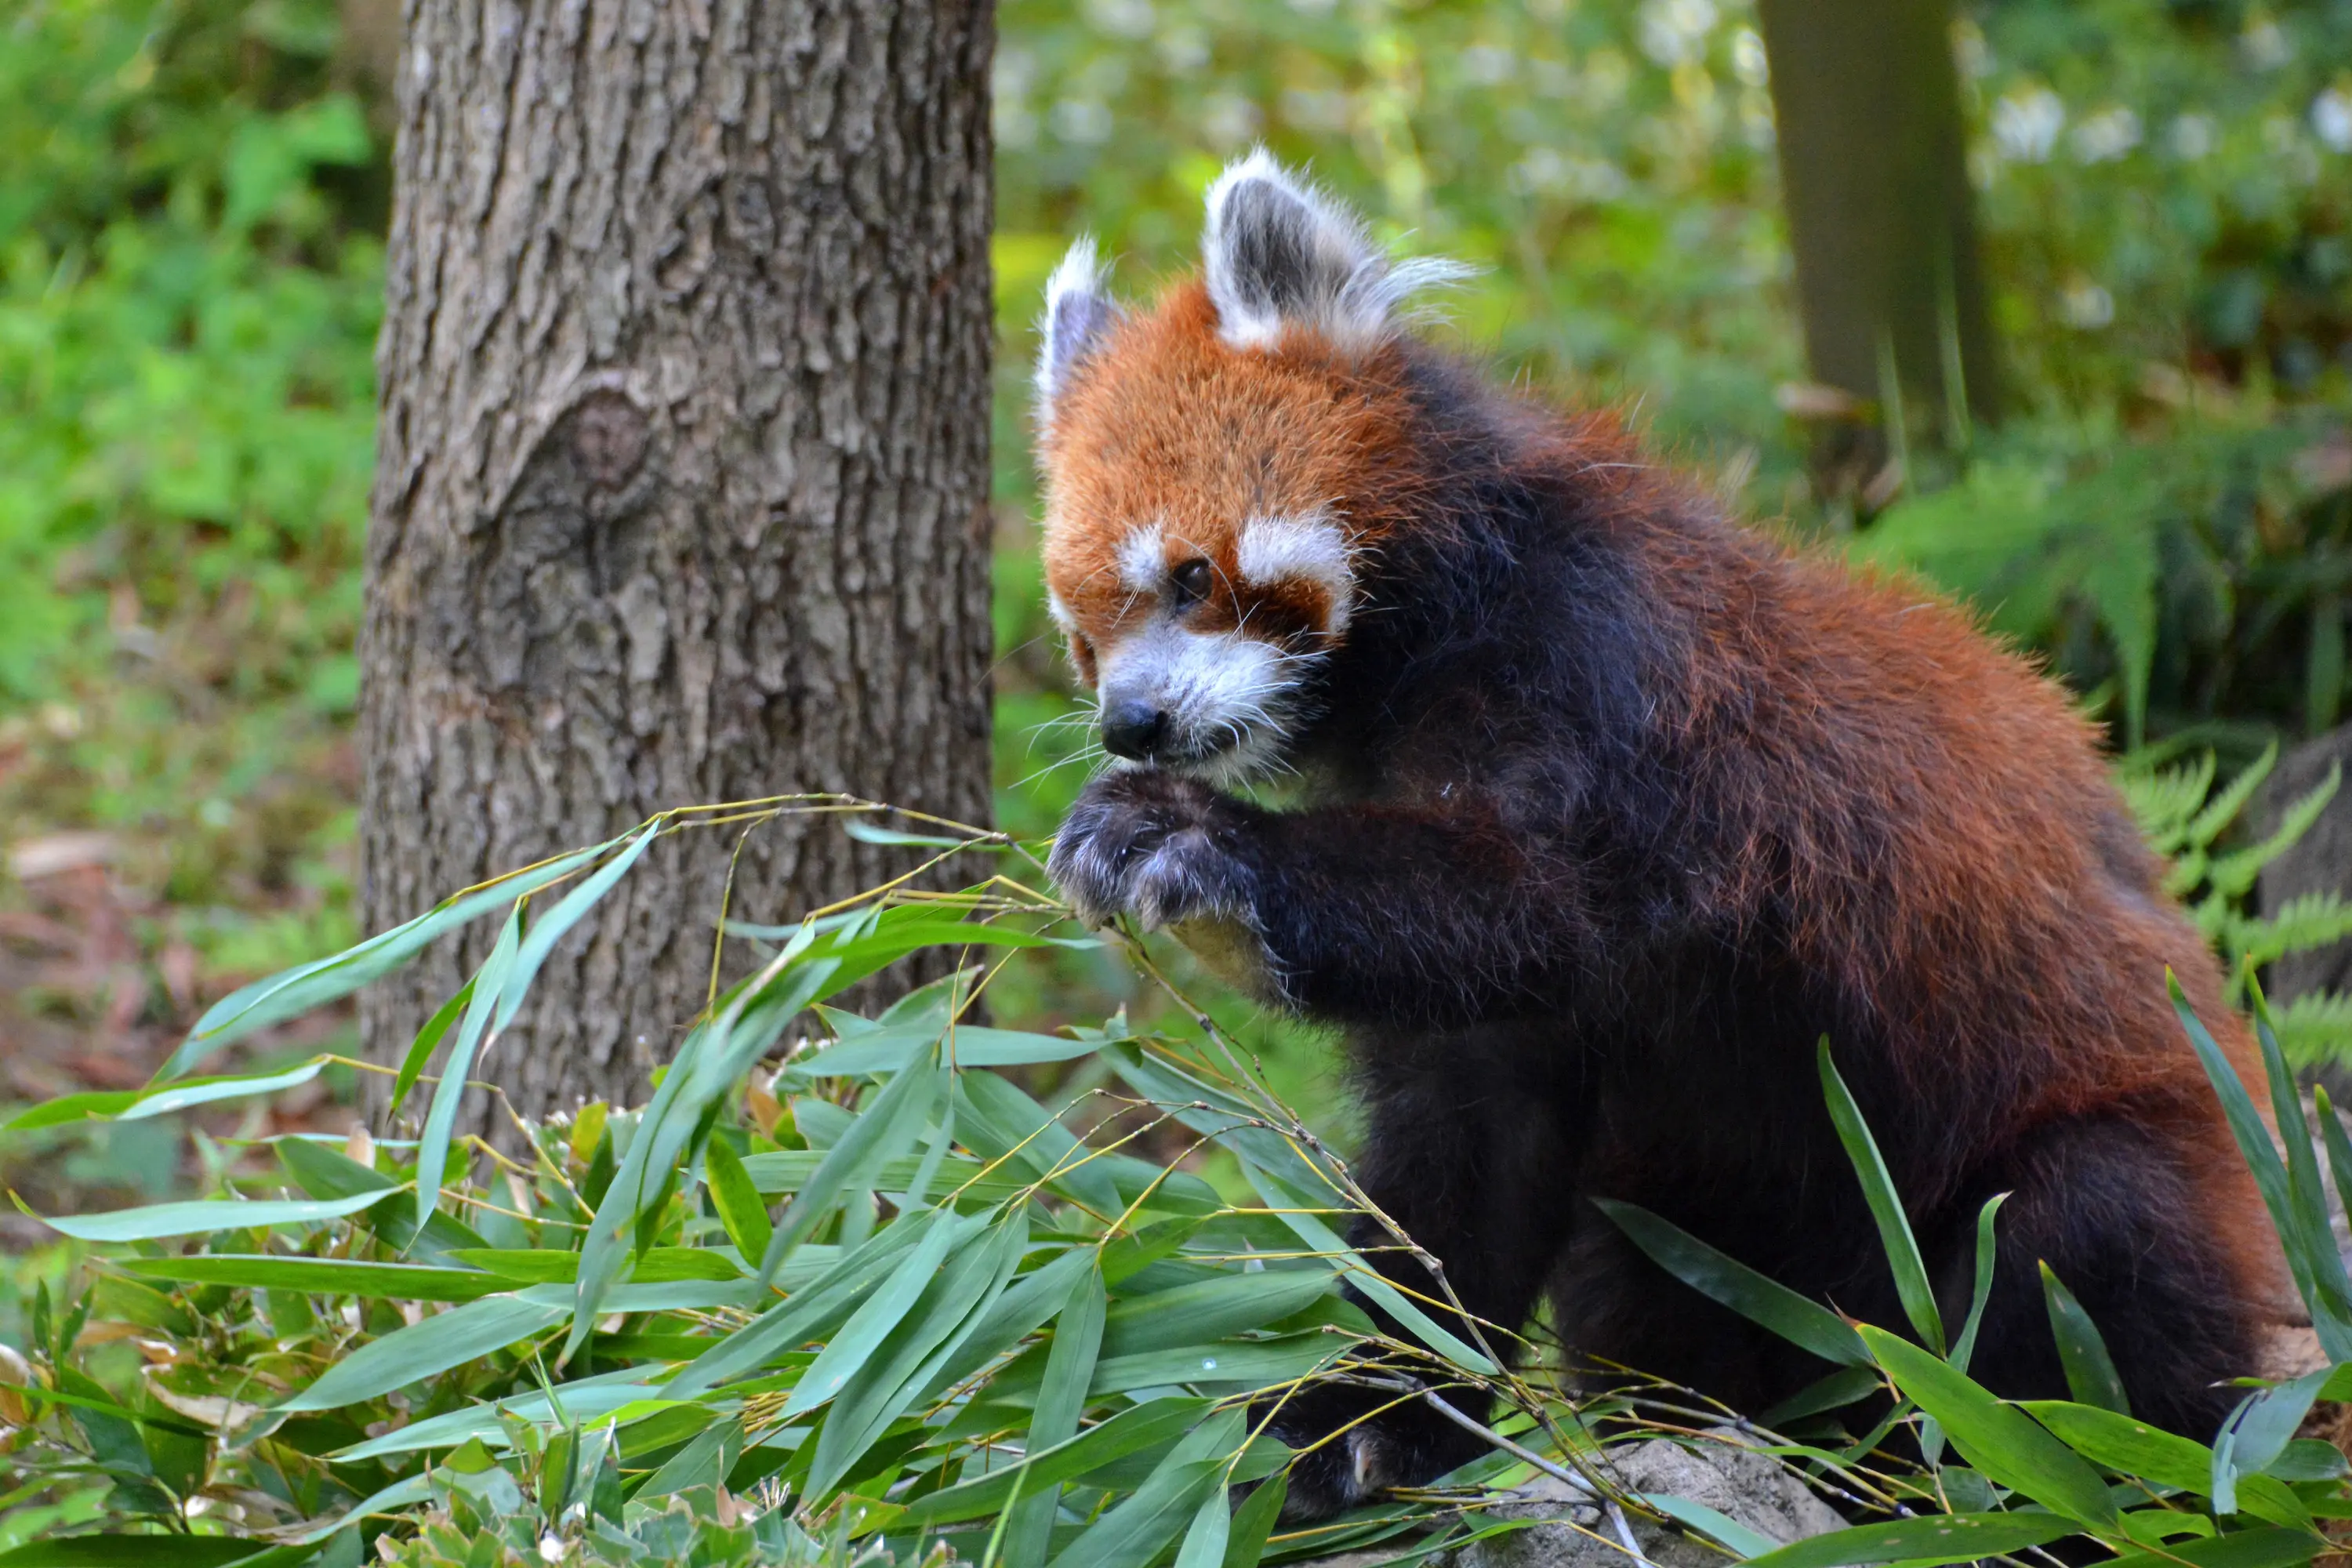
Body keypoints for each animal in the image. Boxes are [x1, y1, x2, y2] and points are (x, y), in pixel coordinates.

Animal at [1030, 150, 2296, 1523]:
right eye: (1087, 632)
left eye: (1192, 577)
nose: (1133, 723)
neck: (1441, 619)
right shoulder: (1492, 1040)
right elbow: (1463, 1153)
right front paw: (1367, 1419)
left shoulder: (1625, 685)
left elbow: (1541, 905)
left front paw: (1187, 846)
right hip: (1694, 1235)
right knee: (1640, 1268)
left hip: (2122, 1154)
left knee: (2081, 1250)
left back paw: (2030, 1485)